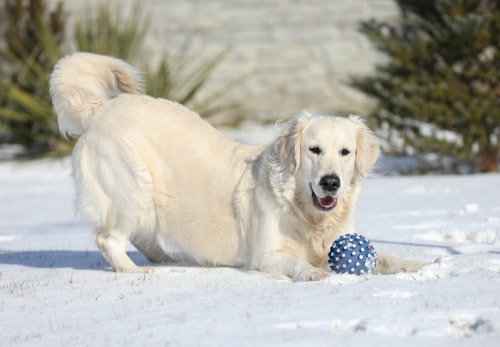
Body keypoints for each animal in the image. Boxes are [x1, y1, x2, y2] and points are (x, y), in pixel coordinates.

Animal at [49, 53, 426, 282]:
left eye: (345, 152)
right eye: (314, 150)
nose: (330, 182)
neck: (304, 213)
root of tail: (101, 109)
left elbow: (386, 257)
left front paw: (421, 264)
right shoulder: (264, 255)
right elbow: (293, 261)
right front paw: (312, 272)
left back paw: (172, 260)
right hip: (134, 188)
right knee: (108, 238)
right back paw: (135, 270)